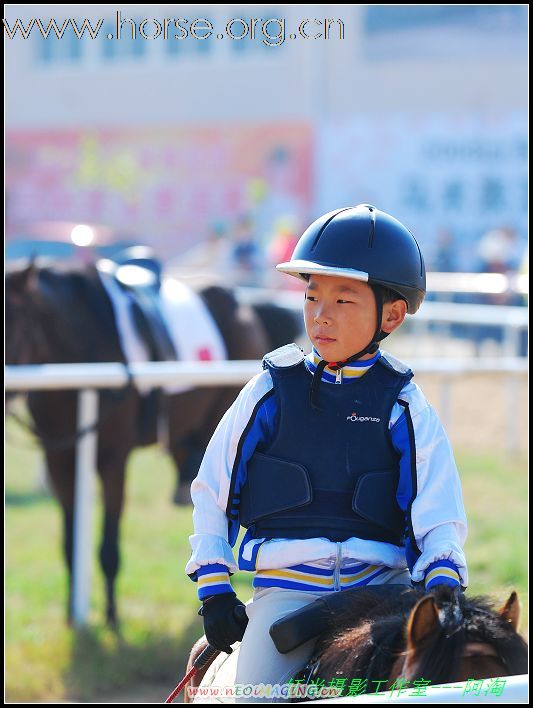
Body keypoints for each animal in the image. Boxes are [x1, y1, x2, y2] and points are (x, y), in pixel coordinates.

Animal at [4, 262, 302, 624]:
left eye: (9, 326)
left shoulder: (113, 459)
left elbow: (108, 546)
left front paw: (112, 617)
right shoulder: (59, 457)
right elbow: (69, 544)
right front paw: (73, 617)